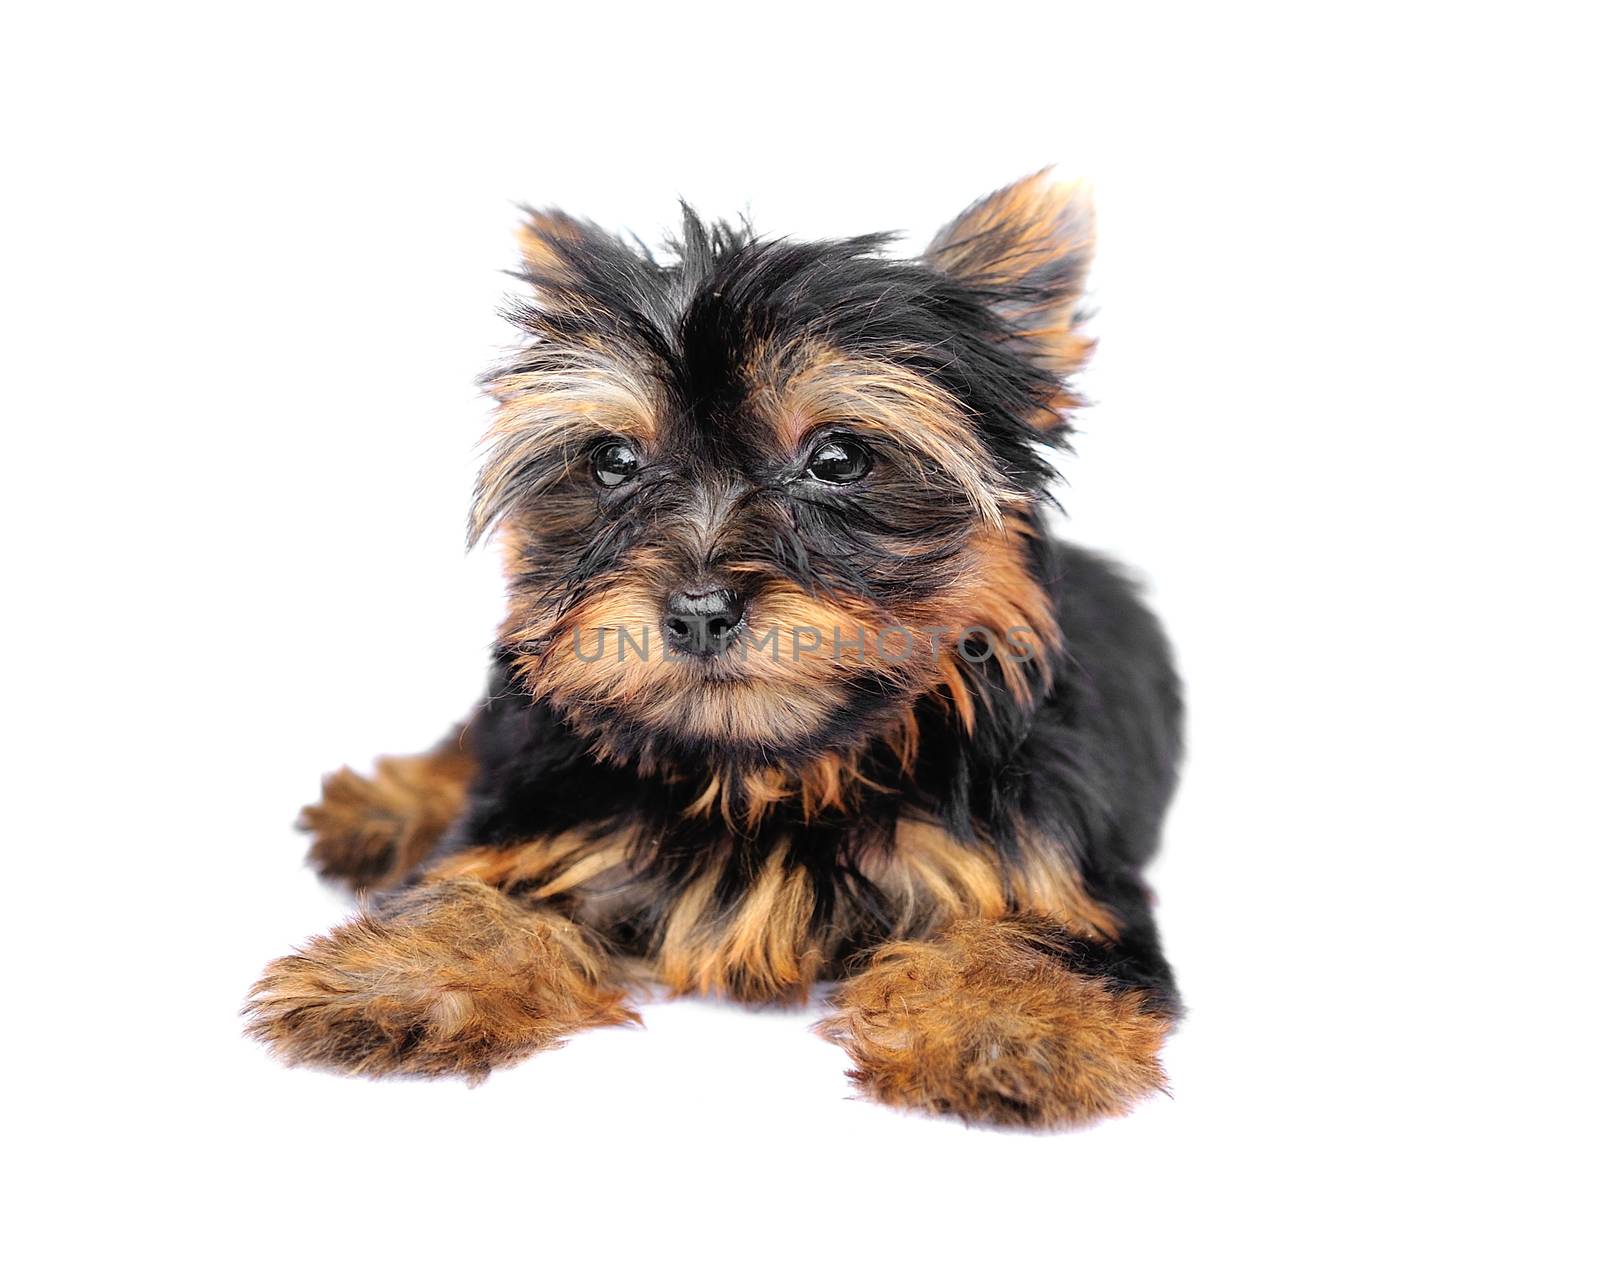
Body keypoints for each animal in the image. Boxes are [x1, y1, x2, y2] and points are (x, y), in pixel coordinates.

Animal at [243, 172, 1184, 1133]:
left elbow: (1038, 938)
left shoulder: (1051, 870)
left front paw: (1005, 1026)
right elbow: (477, 889)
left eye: (837, 458)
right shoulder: (543, 815)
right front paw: (392, 977)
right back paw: (388, 805)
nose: (698, 611)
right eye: (613, 460)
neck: (760, 770)